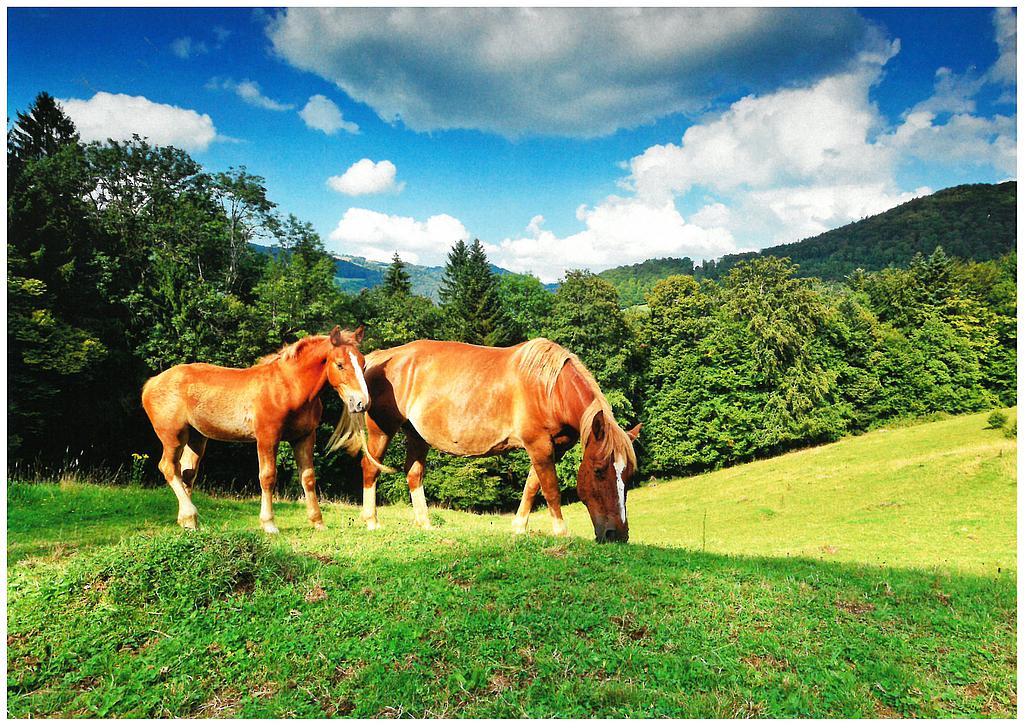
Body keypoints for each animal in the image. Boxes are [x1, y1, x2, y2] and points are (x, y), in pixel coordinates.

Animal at [141, 325, 370, 533]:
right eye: (340, 364)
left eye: (363, 363)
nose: (361, 402)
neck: (289, 387)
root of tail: (151, 383)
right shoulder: (267, 437)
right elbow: (267, 477)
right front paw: (269, 524)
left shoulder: (304, 437)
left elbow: (308, 478)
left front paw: (318, 522)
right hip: (173, 436)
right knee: (168, 467)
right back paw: (190, 515)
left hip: (196, 438)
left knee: (187, 472)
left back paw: (189, 522)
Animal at [357, 338, 640, 542]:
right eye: (599, 471)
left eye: (628, 475)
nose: (617, 535)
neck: (550, 389)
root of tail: (378, 359)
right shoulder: (539, 446)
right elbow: (550, 489)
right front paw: (561, 532)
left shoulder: (552, 448)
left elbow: (532, 486)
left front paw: (519, 527)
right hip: (382, 431)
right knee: (370, 467)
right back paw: (371, 521)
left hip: (417, 436)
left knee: (413, 474)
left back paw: (425, 524)